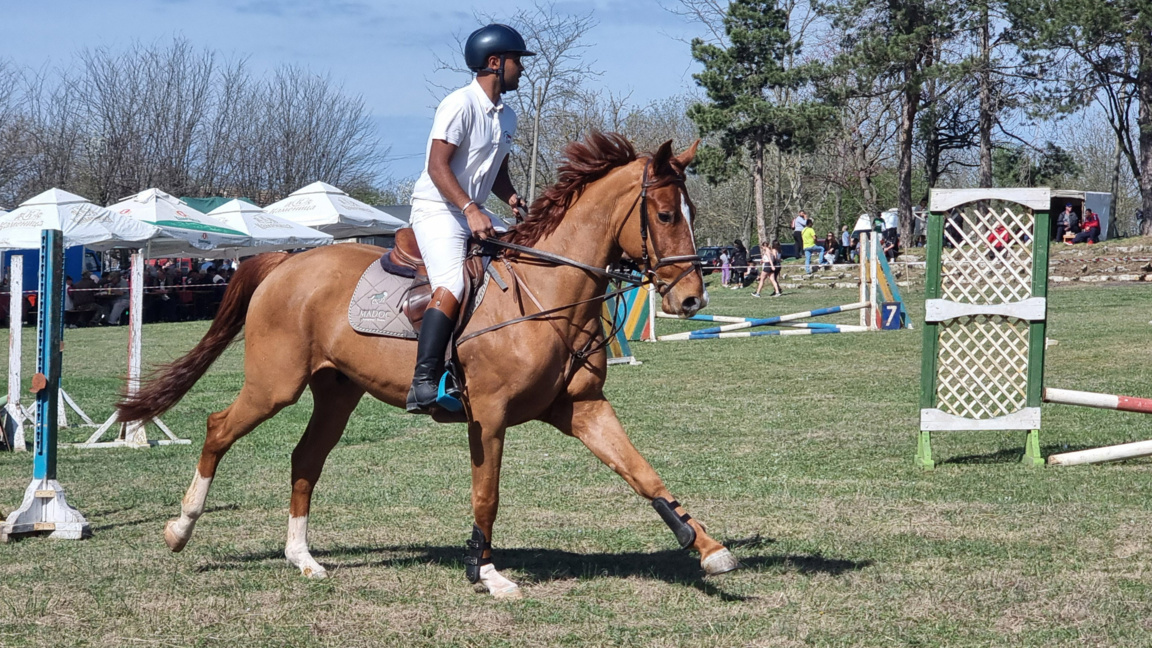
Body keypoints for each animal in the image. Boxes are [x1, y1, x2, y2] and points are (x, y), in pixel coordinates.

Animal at [117, 132, 739, 599]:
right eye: (665, 214)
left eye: (690, 212)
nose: (691, 300)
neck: (546, 292)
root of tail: (286, 263)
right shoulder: (488, 416)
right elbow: (487, 494)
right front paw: (486, 573)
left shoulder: (581, 408)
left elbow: (641, 471)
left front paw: (706, 547)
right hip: (276, 385)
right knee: (219, 429)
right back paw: (180, 529)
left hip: (336, 392)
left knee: (305, 458)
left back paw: (303, 558)